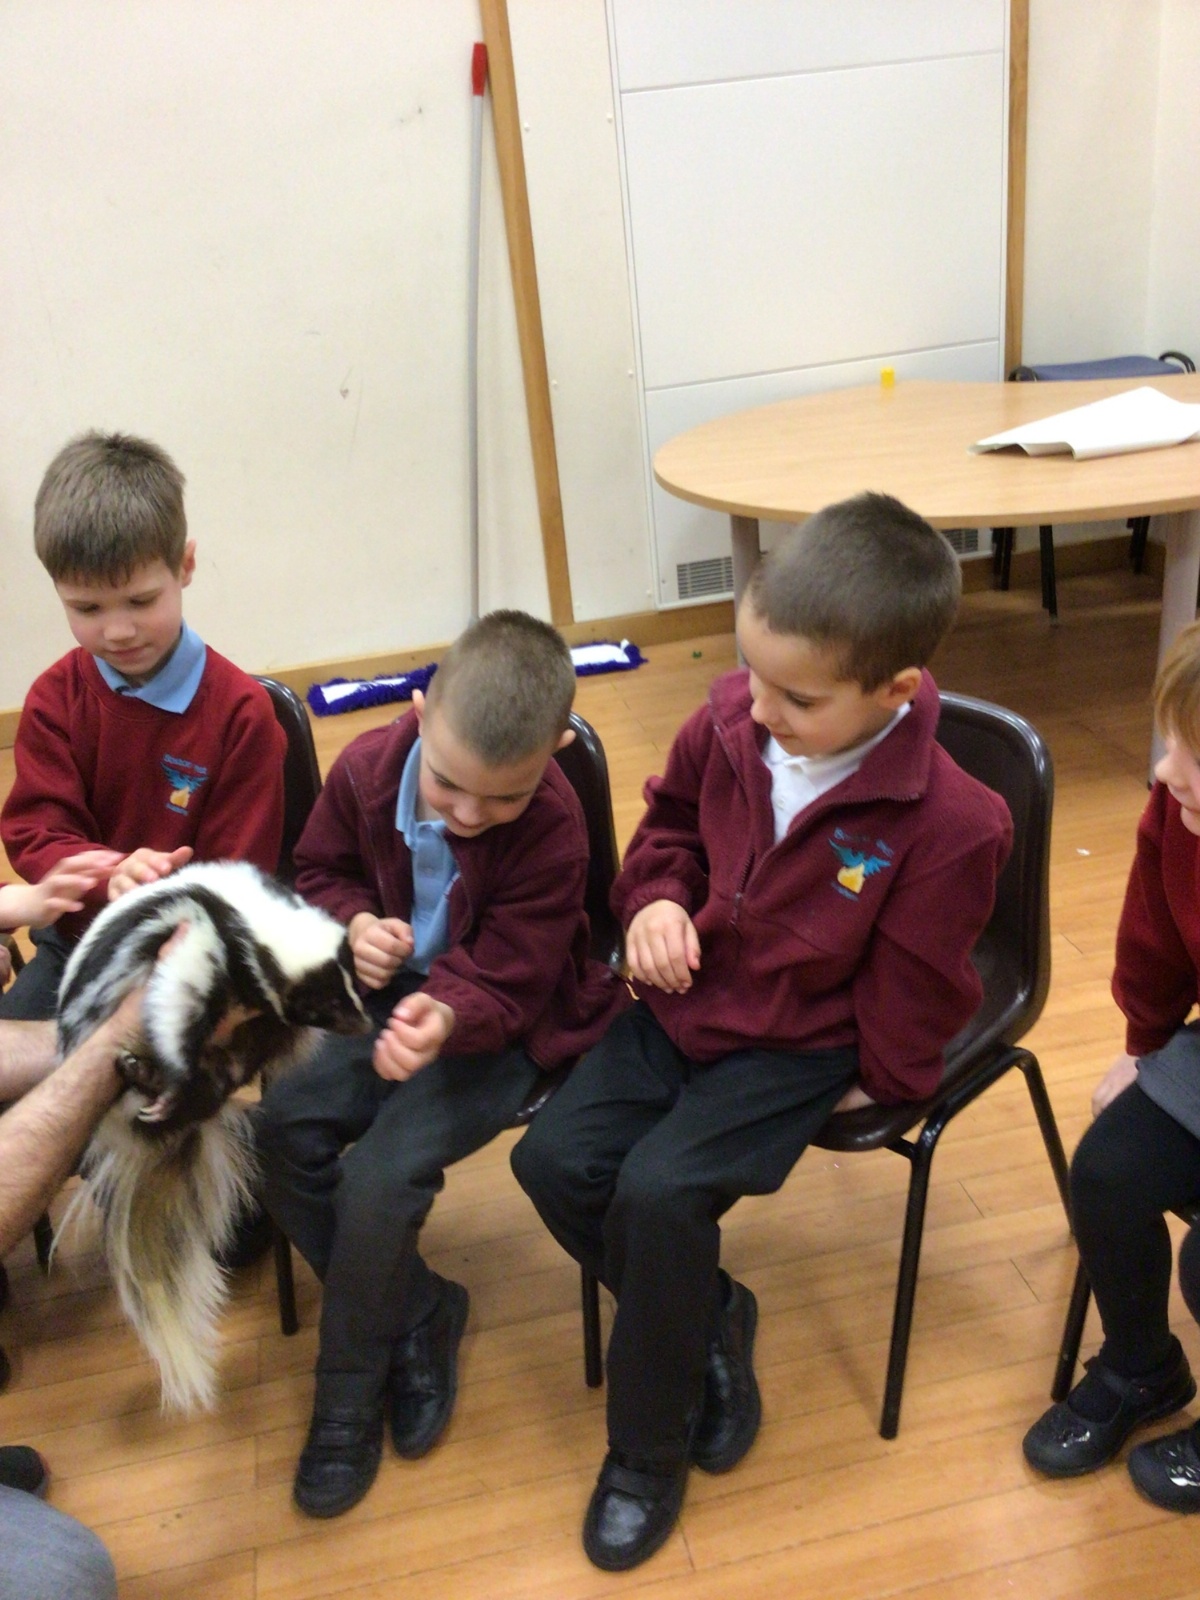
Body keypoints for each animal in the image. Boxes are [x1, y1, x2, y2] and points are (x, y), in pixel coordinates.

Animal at [57, 861, 369, 1411]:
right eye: (322, 1007)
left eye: (351, 982)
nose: (365, 1021)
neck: (248, 913)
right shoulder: (200, 937)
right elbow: (175, 1004)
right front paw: (177, 1073)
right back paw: (153, 1084)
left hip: (243, 1047)